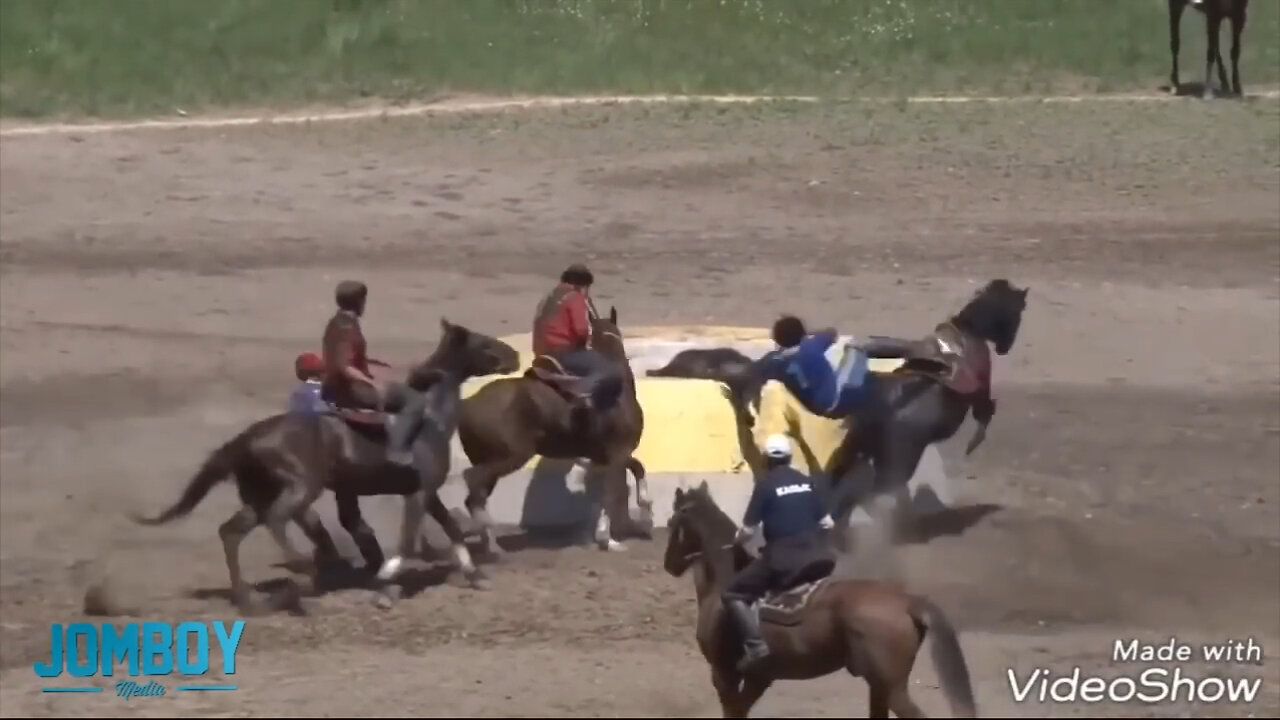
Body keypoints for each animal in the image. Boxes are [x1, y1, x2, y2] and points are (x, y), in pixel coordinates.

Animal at [133, 316, 519, 607]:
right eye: (484, 343)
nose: (514, 354)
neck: (430, 421)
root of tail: (247, 438)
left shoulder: (429, 493)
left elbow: (452, 530)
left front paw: (476, 575)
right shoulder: (418, 493)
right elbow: (409, 541)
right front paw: (386, 586)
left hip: (260, 495)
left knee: (231, 532)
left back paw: (248, 597)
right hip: (301, 488)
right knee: (276, 520)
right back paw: (304, 568)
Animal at [458, 303, 650, 556]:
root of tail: (467, 404)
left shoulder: (606, 456)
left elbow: (622, 481)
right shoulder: (617, 453)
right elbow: (619, 487)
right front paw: (610, 538)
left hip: (490, 462)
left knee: (476, 496)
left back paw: (489, 543)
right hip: (509, 457)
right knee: (472, 482)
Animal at [665, 479, 972, 712]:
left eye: (671, 522)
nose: (670, 565)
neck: (724, 580)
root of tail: (908, 602)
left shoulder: (724, 675)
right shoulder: (758, 678)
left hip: (892, 689)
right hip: (879, 687)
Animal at [819, 278, 1029, 545]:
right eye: (1017, 312)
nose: (1005, 348)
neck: (970, 332)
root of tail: (881, 413)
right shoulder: (981, 393)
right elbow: (986, 413)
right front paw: (973, 444)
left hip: (857, 451)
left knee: (840, 482)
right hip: (895, 468)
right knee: (863, 495)